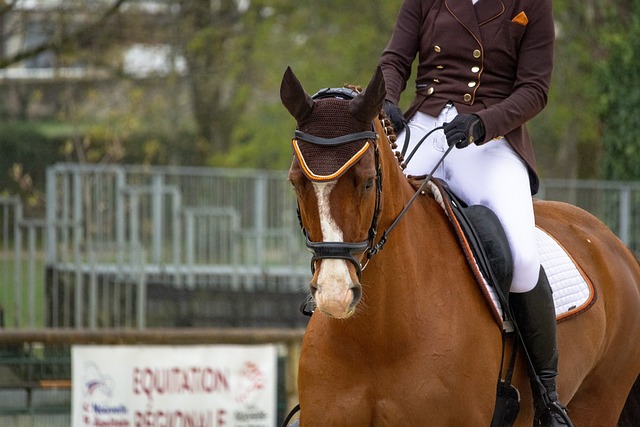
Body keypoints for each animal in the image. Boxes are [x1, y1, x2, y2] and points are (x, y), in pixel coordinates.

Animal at [280, 65, 640, 426]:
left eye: (368, 182)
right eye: (295, 182)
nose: (335, 295)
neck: (378, 338)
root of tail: (610, 241)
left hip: (599, 401)